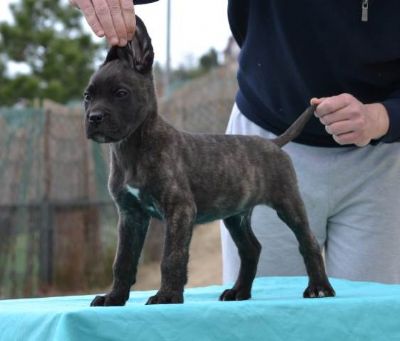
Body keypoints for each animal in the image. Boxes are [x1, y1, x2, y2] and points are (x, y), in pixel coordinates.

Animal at [84, 15, 334, 306]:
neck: (134, 147)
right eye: (87, 96)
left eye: (121, 93)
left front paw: (167, 296)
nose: (94, 118)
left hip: (289, 204)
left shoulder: (179, 209)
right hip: (236, 215)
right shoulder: (130, 215)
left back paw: (319, 287)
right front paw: (114, 297)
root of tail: (273, 143)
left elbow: (172, 257)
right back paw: (239, 291)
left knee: (308, 242)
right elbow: (123, 260)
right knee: (251, 249)